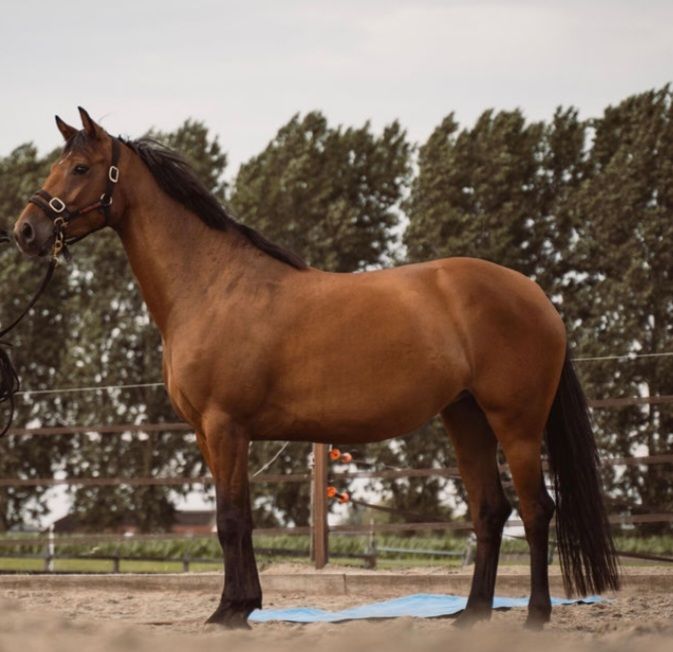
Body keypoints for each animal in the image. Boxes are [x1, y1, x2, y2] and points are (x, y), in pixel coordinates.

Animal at [13, 108, 619, 629]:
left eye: (81, 168)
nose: (25, 231)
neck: (210, 285)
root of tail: (535, 294)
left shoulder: (225, 425)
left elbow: (231, 521)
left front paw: (230, 611)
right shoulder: (213, 435)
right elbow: (236, 519)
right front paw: (241, 605)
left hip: (516, 423)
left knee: (536, 510)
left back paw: (537, 615)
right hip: (465, 417)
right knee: (490, 511)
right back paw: (470, 615)